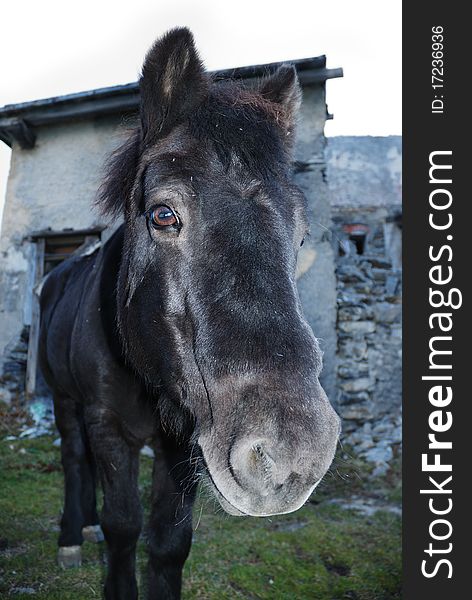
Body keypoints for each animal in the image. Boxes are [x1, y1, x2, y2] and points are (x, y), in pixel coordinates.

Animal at [37, 28, 340, 600]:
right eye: (163, 214)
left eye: (301, 234)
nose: (289, 455)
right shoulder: (107, 426)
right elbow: (123, 526)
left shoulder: (182, 444)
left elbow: (169, 543)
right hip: (63, 399)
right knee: (72, 457)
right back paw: (70, 534)